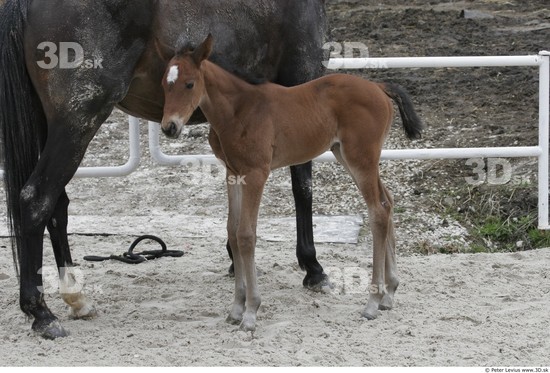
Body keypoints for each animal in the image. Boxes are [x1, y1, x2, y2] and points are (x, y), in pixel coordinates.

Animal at [0, 0, 328, 338]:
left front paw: (234, 260)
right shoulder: (299, 85)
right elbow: (303, 187)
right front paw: (313, 268)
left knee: (57, 206)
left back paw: (77, 298)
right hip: (76, 124)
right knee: (36, 199)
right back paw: (41, 313)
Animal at [162, 35, 424, 332]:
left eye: (189, 84)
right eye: (163, 84)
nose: (169, 127)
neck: (240, 109)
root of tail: (379, 87)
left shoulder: (256, 173)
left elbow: (246, 235)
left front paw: (251, 312)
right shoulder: (234, 173)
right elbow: (232, 231)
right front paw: (236, 308)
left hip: (360, 158)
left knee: (378, 211)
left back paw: (372, 302)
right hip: (347, 155)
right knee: (387, 202)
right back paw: (389, 293)